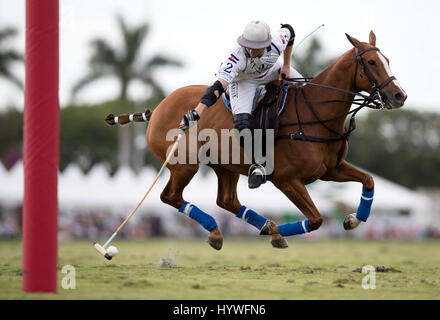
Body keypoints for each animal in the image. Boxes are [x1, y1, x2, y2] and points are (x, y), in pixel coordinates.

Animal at [107, 30, 406, 250]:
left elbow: (369, 180)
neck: (317, 112)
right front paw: (278, 231)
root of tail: (158, 107)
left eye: (388, 59)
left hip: (225, 167)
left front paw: (353, 219)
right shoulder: (287, 179)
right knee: (170, 196)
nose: (399, 95)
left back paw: (248, 228)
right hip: (184, 165)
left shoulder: (331, 170)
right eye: (371, 63)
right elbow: (316, 219)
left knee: (227, 201)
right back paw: (240, 229)